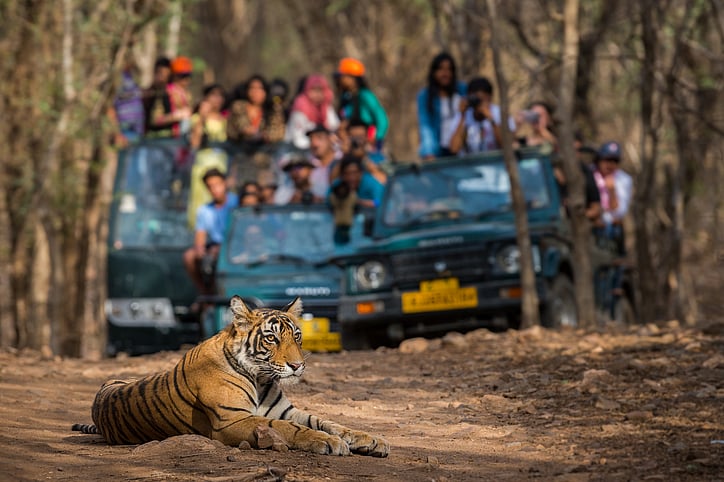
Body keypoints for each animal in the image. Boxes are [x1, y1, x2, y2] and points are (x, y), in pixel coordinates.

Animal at [72, 295, 389, 457]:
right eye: (272, 338)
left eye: (297, 336)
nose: (298, 366)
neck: (261, 378)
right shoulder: (231, 420)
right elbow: (291, 429)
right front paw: (330, 442)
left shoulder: (285, 410)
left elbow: (328, 422)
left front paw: (371, 440)